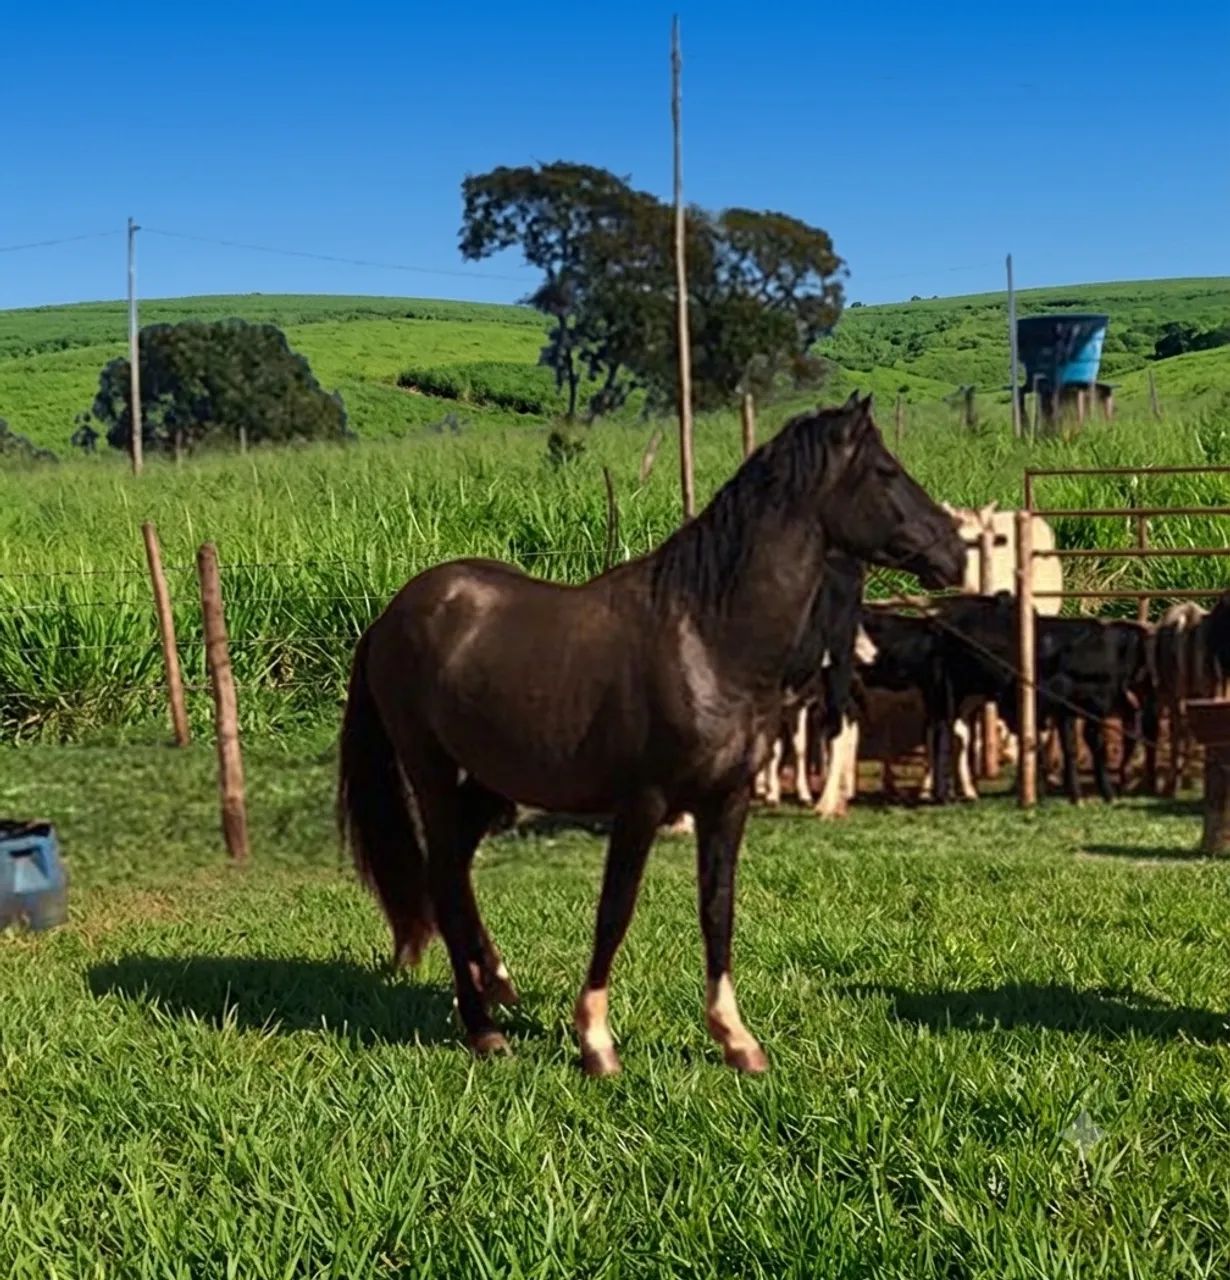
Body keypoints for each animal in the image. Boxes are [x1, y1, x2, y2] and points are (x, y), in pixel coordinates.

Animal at [336, 394, 967, 1076]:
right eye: (885, 472)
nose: (955, 554)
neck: (706, 639)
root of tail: (391, 616)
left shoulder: (728, 802)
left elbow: (717, 910)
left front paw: (736, 1039)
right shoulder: (642, 804)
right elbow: (615, 911)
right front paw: (596, 1042)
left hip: (486, 782)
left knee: (452, 871)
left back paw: (497, 983)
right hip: (431, 773)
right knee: (445, 881)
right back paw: (484, 1028)